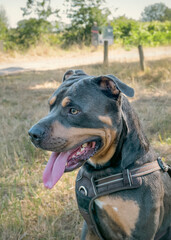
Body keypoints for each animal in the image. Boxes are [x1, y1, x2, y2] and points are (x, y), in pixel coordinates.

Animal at [28, 70, 170, 240]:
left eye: (73, 111)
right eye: (50, 106)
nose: (32, 134)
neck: (105, 171)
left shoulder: (140, 233)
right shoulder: (90, 227)